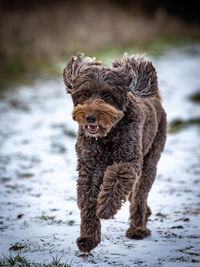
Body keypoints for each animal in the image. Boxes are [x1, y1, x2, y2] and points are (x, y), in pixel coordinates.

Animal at [63, 52, 166, 253]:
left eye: (107, 95)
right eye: (85, 93)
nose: (90, 117)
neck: (106, 136)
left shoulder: (129, 161)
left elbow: (118, 177)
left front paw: (106, 208)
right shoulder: (89, 167)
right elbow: (88, 201)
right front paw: (88, 238)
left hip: (150, 161)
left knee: (139, 195)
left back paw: (137, 228)